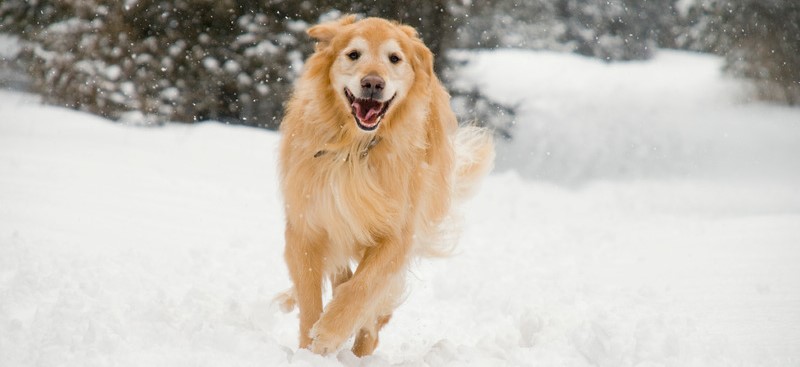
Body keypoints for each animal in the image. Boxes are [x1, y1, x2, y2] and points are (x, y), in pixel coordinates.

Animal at [278, 15, 496, 358]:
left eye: (394, 59)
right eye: (353, 54)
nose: (373, 83)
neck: (354, 149)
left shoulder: (397, 232)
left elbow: (363, 287)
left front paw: (329, 334)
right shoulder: (306, 225)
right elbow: (310, 295)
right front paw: (308, 351)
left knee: (373, 311)